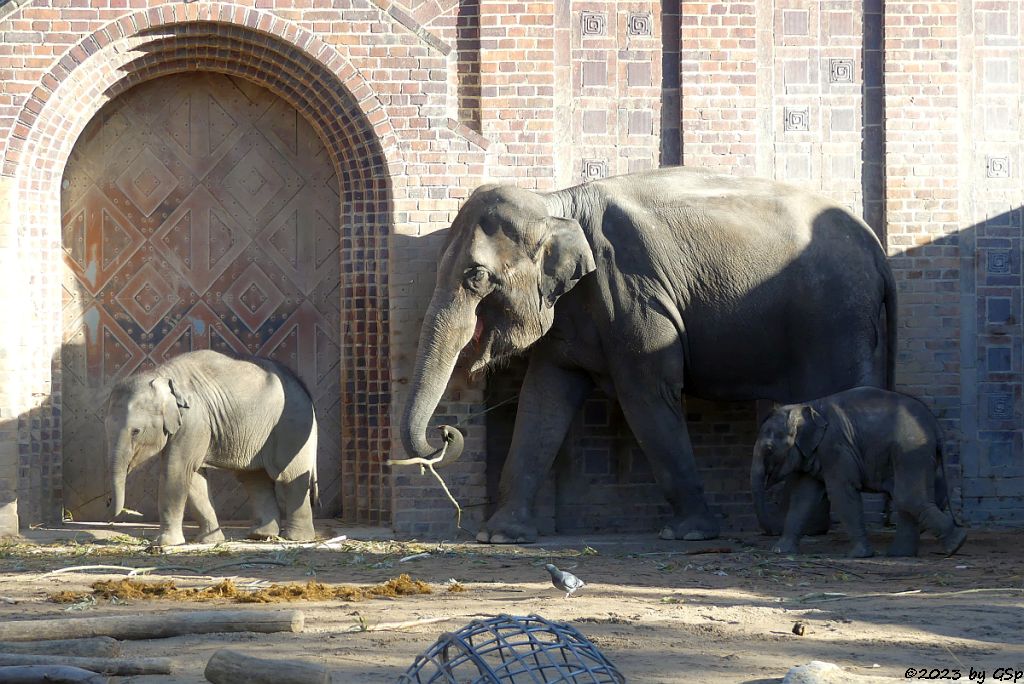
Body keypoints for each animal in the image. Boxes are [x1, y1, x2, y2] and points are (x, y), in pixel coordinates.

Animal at [106, 350, 317, 548]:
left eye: (136, 431)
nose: (111, 507)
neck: (161, 374)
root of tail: (303, 386)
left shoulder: (194, 420)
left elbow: (176, 469)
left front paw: (163, 543)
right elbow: (193, 476)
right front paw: (208, 540)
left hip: (293, 423)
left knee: (289, 475)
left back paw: (296, 538)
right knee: (254, 479)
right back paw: (260, 535)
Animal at [399, 166, 897, 544]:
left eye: (477, 276)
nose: (445, 432)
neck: (557, 204)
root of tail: (877, 248)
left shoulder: (634, 294)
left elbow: (646, 394)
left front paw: (689, 534)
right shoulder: (575, 311)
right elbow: (543, 401)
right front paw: (500, 536)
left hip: (835, 320)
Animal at [753, 387, 966, 557]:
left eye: (769, 449)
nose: (768, 533)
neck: (808, 406)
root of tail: (935, 425)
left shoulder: (835, 447)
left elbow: (840, 492)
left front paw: (859, 555)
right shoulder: (815, 451)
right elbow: (803, 497)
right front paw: (780, 551)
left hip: (911, 450)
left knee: (908, 498)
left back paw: (956, 544)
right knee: (907, 499)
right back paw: (900, 555)